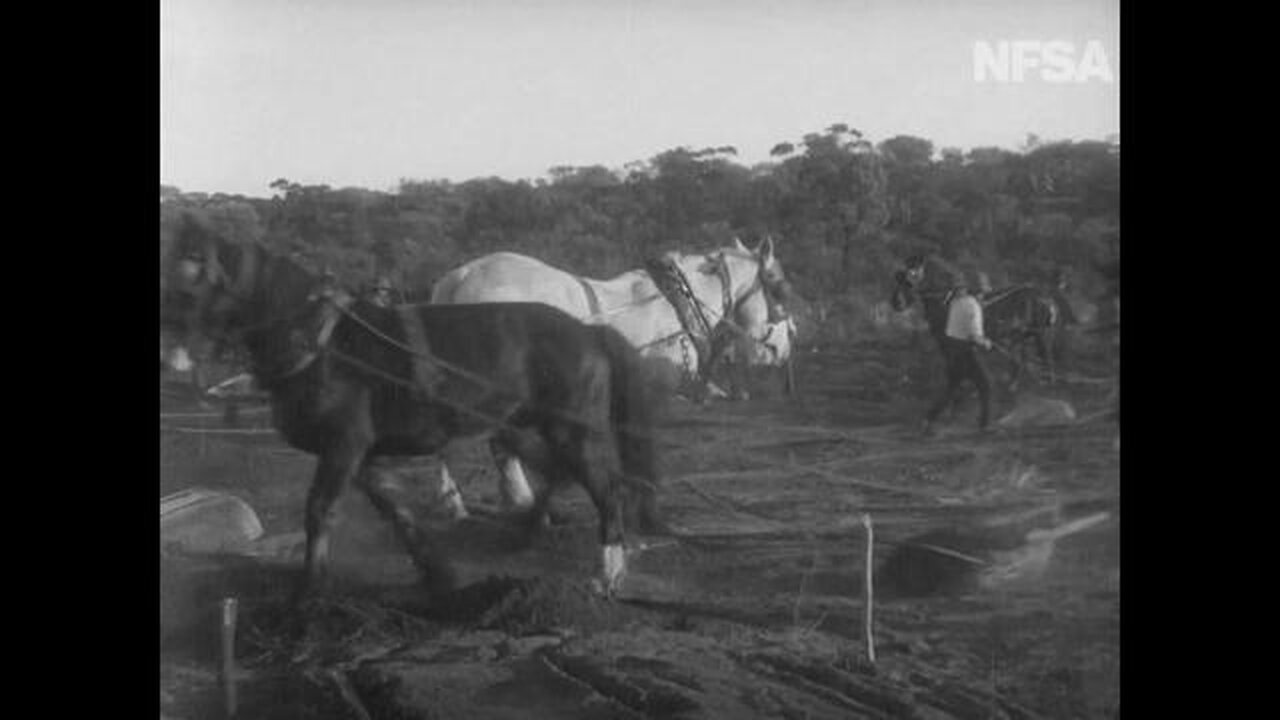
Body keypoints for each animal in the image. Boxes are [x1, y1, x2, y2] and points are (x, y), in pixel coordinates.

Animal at [158, 215, 660, 597]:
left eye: (188, 273)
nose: (169, 350)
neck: (324, 343)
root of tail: (589, 331)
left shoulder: (343, 446)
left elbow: (319, 511)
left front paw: (310, 591)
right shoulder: (361, 455)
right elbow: (394, 511)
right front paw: (437, 571)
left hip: (573, 429)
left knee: (605, 488)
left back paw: (607, 570)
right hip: (530, 424)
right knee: (558, 472)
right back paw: (531, 527)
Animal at [424, 235, 793, 520]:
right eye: (777, 287)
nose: (784, 344)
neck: (677, 304)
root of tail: (460, 278)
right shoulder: (650, 392)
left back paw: (463, 503)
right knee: (496, 437)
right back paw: (510, 499)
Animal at [890, 254, 1059, 389]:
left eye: (911, 278)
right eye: (897, 276)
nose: (896, 303)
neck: (947, 301)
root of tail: (1042, 295)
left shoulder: (951, 345)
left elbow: (955, 369)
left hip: (1038, 335)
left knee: (1043, 359)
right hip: (1023, 336)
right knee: (1022, 360)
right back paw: (1014, 385)